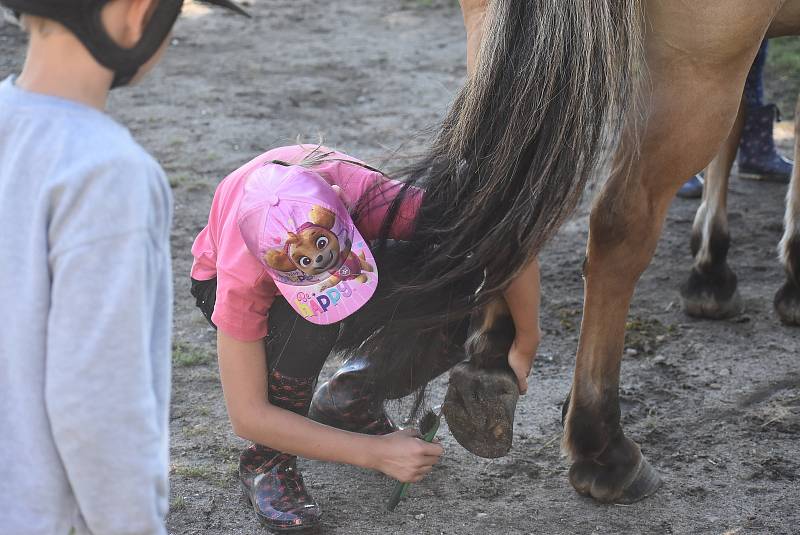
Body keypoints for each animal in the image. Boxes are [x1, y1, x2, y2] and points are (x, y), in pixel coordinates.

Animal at [338, 0, 800, 506]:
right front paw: (765, 273)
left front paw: (714, 264)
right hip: (697, 64)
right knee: (619, 224)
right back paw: (602, 443)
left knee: (503, 189)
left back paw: (481, 367)